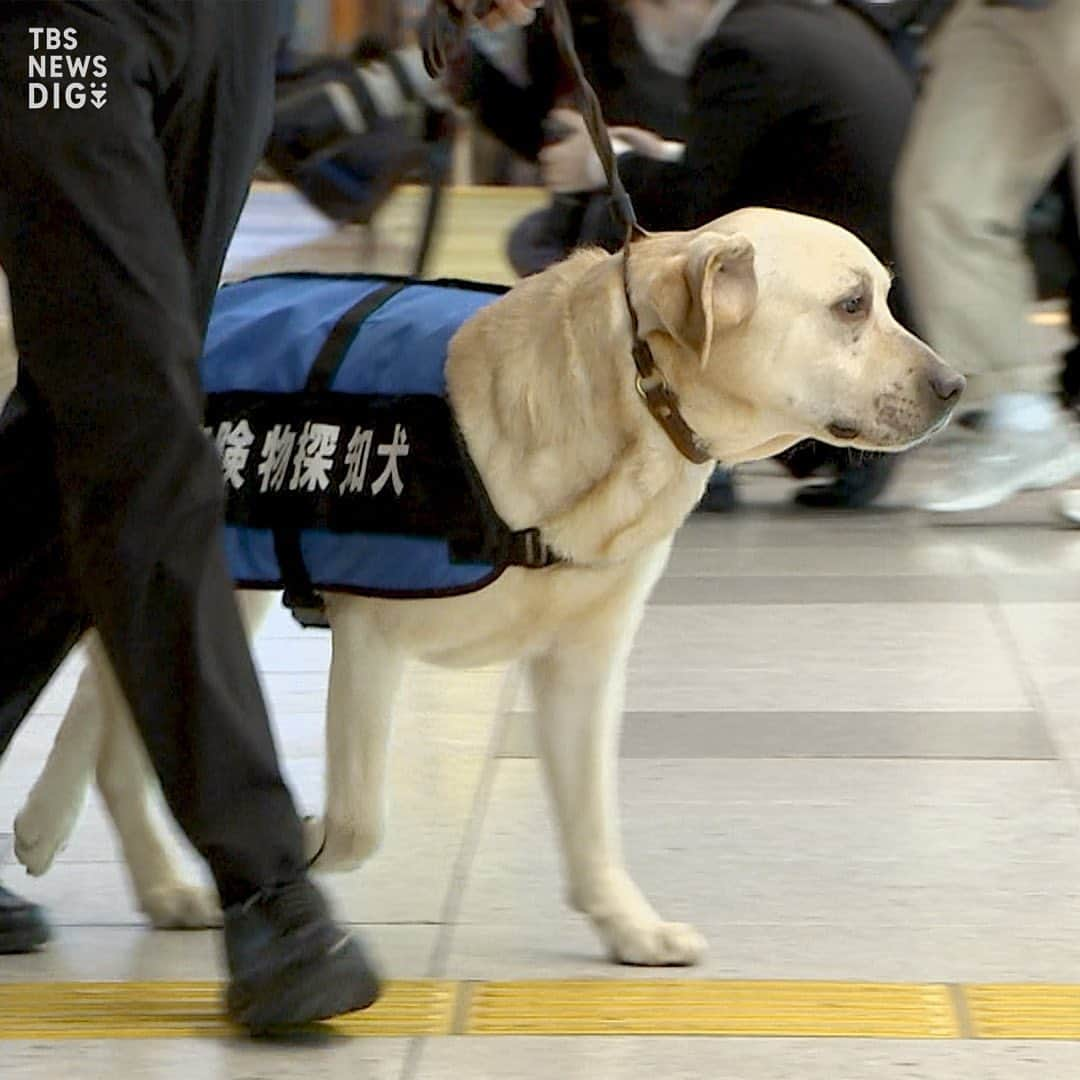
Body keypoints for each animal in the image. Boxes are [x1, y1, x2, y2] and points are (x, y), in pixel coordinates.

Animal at [12, 208, 963, 963]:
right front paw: (305, 840)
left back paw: (104, 856)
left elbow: (591, 816)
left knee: (107, 717)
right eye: (851, 305)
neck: (628, 407)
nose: (955, 384)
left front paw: (626, 925)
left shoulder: (583, 663)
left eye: (885, 296)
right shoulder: (371, 640)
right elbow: (361, 821)